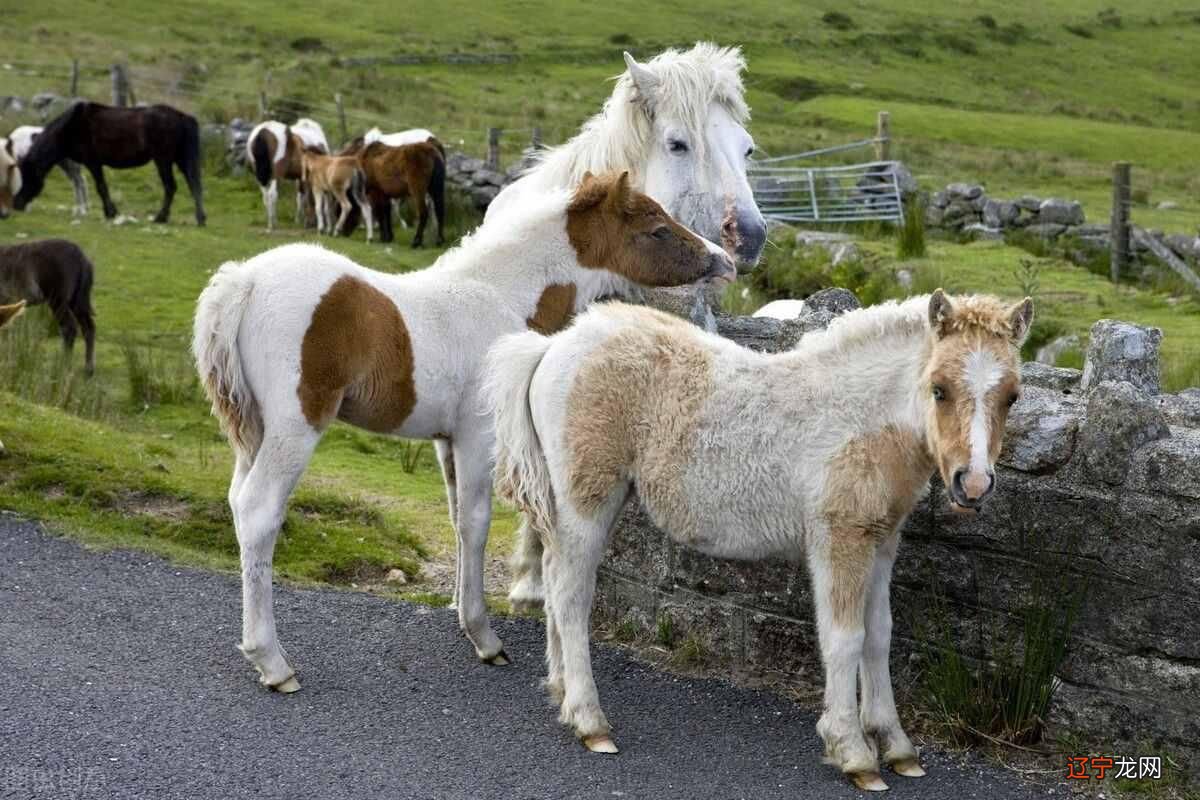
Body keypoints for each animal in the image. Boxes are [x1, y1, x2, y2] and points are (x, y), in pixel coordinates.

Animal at [12, 101, 204, 225]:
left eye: (26, 178)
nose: (16, 205)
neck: (71, 127)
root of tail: (182, 117)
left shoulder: (93, 163)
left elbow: (101, 187)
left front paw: (111, 212)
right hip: (179, 160)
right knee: (193, 184)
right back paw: (200, 218)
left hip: (163, 160)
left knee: (171, 187)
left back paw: (161, 218)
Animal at [193, 170, 734, 695]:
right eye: (657, 229)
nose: (724, 260)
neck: (500, 297)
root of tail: (244, 280)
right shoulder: (478, 436)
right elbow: (476, 522)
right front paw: (484, 636)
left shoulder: (445, 442)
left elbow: (455, 518)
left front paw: (458, 610)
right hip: (294, 428)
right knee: (259, 511)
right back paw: (272, 662)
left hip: (255, 432)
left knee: (238, 502)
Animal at [484, 291, 1032, 791]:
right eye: (939, 389)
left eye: (1012, 396)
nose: (973, 485)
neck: (863, 416)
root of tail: (554, 345)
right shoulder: (839, 538)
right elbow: (844, 638)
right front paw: (853, 751)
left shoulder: (881, 540)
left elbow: (879, 634)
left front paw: (896, 745)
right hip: (588, 501)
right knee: (571, 597)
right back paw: (589, 719)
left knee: (554, 583)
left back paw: (560, 693)